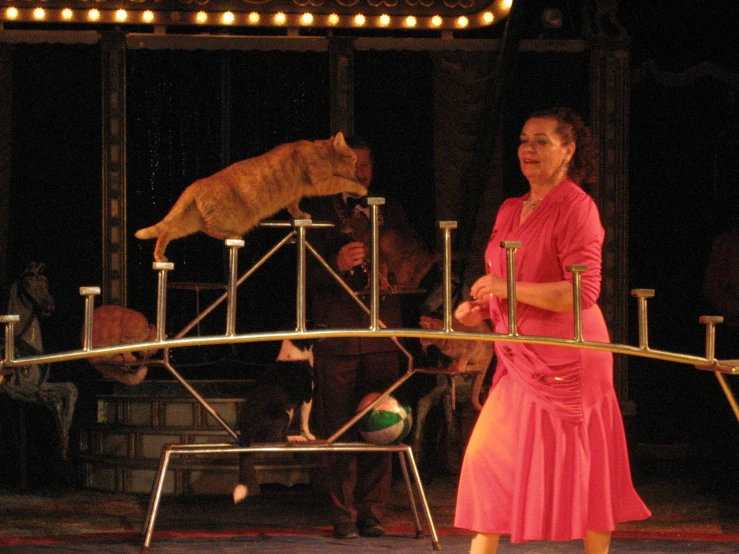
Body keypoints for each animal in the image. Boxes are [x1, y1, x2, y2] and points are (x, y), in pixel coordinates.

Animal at [134, 134, 366, 264]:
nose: (357, 167)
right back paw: (232, 234)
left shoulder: (294, 196)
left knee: (166, 232)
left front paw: (301, 214)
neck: (320, 152)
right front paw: (361, 188)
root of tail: (197, 183)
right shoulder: (323, 182)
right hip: (226, 218)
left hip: (189, 223)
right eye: (354, 158)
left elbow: (294, 208)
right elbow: (344, 183)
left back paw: (159, 256)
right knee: (210, 229)